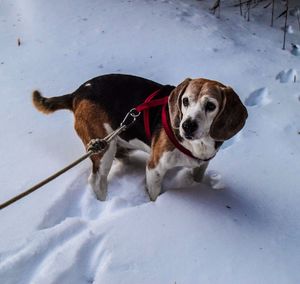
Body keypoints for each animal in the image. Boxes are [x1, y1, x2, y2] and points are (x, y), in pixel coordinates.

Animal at [32, 74, 248, 201]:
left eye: (211, 106)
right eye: (185, 101)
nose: (186, 125)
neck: (198, 144)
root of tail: (78, 92)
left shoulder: (202, 164)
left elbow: (198, 175)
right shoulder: (155, 168)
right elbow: (154, 194)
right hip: (104, 148)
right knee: (96, 180)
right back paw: (102, 199)